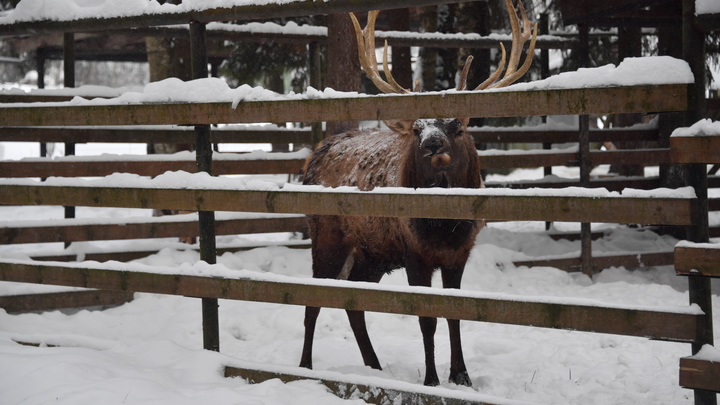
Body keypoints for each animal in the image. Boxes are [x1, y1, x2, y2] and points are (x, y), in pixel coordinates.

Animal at [298, 0, 536, 386]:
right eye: (416, 127)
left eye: (457, 126)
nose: (432, 145)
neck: (443, 227)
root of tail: (314, 155)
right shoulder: (414, 253)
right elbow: (427, 318)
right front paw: (432, 380)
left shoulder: (460, 254)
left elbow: (455, 313)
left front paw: (462, 376)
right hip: (326, 233)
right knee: (313, 299)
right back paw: (305, 366)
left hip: (372, 252)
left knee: (354, 298)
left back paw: (374, 366)